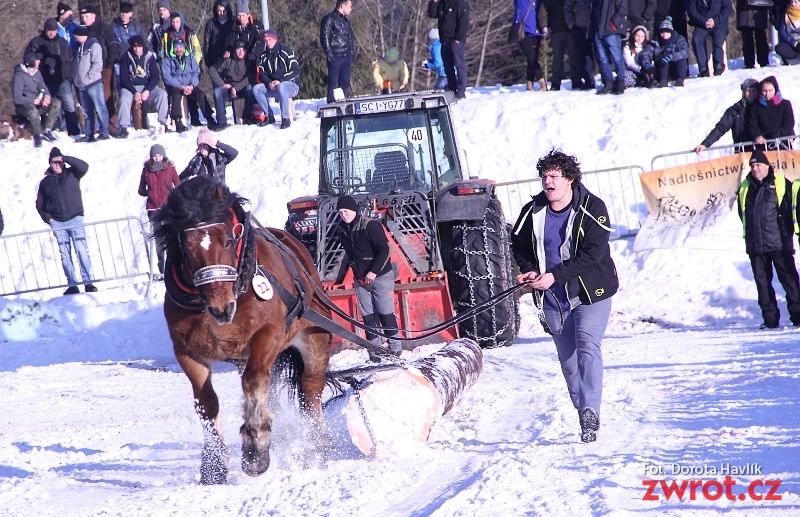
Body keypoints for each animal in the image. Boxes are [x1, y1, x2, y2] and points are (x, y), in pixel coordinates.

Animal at [153, 177, 332, 484]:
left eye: (227, 240)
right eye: (187, 248)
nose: (221, 308)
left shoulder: (269, 334)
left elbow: (253, 382)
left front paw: (255, 447)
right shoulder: (186, 351)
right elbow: (205, 402)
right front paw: (213, 466)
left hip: (315, 336)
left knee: (310, 389)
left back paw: (315, 445)